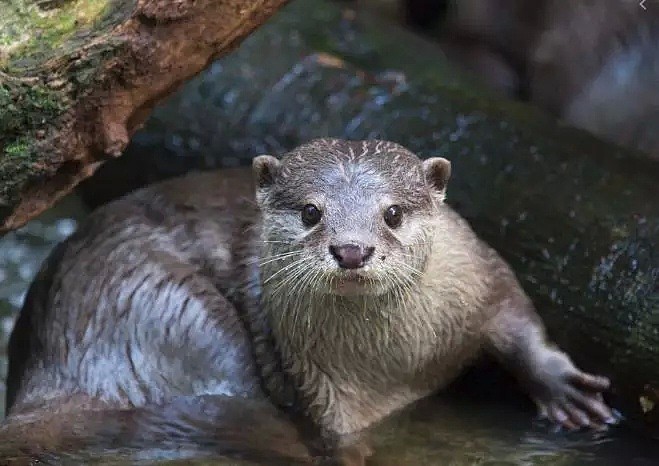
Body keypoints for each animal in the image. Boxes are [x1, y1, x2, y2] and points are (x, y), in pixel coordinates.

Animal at [6, 138, 620, 462]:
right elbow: (337, 437)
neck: (400, 362)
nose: (351, 249)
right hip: (169, 311)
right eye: (310, 211)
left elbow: (518, 318)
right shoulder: (322, 387)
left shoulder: (478, 271)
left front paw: (567, 390)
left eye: (393, 212)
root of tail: (53, 362)